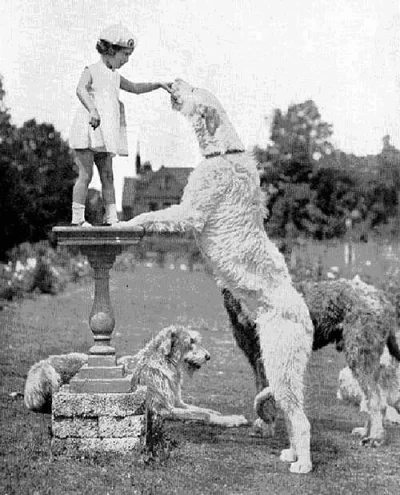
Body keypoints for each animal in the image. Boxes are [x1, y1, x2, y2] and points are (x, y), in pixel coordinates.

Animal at [24, 326, 247, 430]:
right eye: (191, 342)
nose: (209, 356)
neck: (163, 364)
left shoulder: (177, 403)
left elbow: (205, 410)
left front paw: (228, 416)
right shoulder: (164, 409)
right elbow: (203, 415)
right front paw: (230, 421)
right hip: (52, 375)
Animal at [120, 79, 314, 474]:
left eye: (194, 88)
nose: (174, 79)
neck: (223, 151)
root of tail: (306, 318)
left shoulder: (188, 212)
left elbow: (150, 216)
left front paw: (122, 222)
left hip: (280, 362)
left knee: (300, 419)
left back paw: (302, 464)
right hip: (282, 369)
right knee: (291, 414)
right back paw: (291, 453)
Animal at [223, 278, 400, 448]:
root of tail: (382, 298)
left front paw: (266, 425)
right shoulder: (256, 358)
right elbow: (262, 394)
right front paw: (265, 425)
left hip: (359, 357)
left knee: (377, 401)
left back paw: (375, 437)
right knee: (372, 398)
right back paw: (365, 431)